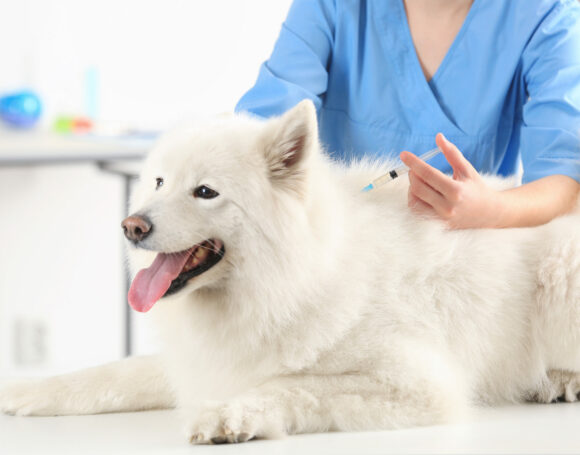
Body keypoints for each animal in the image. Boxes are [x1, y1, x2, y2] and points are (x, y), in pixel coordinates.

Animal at [1, 100, 580, 446]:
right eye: (160, 182)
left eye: (205, 192)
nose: (131, 226)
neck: (288, 280)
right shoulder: (203, 361)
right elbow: (106, 376)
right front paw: (23, 391)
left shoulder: (417, 383)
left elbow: (293, 385)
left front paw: (227, 416)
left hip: (560, 270)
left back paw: (558, 381)